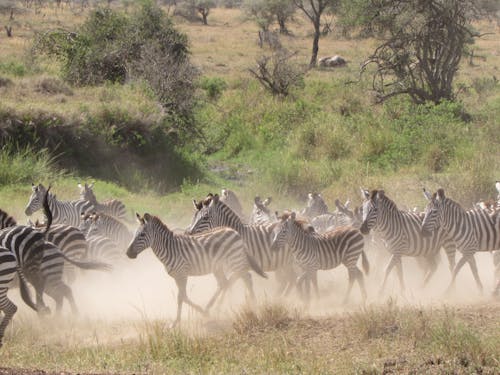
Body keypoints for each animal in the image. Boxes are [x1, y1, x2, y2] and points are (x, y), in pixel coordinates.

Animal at [127, 213, 268, 328]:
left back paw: (254, 307)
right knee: (226, 282)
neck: (170, 249)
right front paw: (201, 313)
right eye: (134, 234)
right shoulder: (177, 277)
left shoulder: (182, 274)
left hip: (235, 260)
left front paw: (175, 323)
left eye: (142, 235)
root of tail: (233, 231)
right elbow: (183, 297)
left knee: (246, 278)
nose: (128, 253)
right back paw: (215, 308)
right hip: (219, 266)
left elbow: (181, 297)